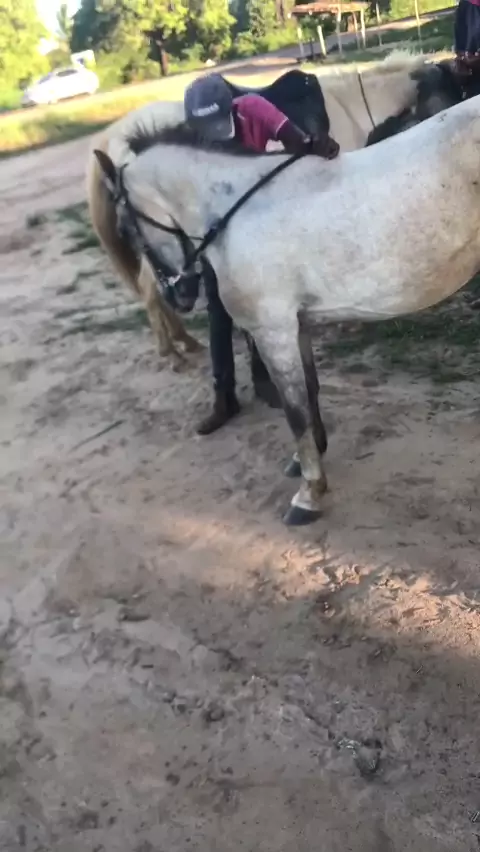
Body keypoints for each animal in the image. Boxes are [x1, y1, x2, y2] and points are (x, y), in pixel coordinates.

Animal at [87, 51, 463, 368]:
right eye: (453, 94)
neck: (348, 109)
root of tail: (112, 140)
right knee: (152, 290)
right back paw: (174, 352)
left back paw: (186, 344)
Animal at [94, 93, 480, 526]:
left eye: (126, 228)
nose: (180, 293)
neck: (236, 212)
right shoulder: (297, 325)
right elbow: (309, 393)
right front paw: (308, 457)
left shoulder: (272, 331)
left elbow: (294, 410)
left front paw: (309, 493)